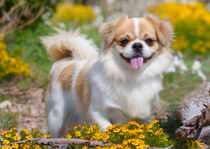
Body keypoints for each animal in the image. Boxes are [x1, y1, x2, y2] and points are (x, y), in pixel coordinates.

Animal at [41, 14, 174, 137]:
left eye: (149, 41)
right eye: (124, 41)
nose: (137, 45)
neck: (132, 76)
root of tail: (65, 61)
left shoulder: (143, 117)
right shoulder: (97, 112)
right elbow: (107, 129)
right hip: (56, 117)